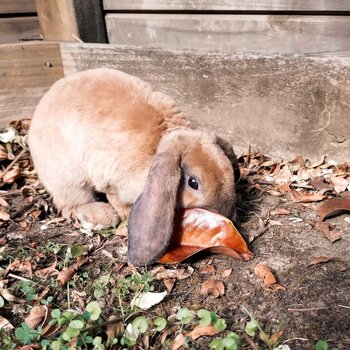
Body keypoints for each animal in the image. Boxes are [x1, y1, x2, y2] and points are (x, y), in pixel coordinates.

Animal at [28, 68, 241, 266]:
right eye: (193, 183)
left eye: (231, 171)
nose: (226, 213)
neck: (157, 146)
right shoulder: (111, 181)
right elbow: (117, 199)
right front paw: (125, 215)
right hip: (69, 179)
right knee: (71, 204)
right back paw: (102, 215)